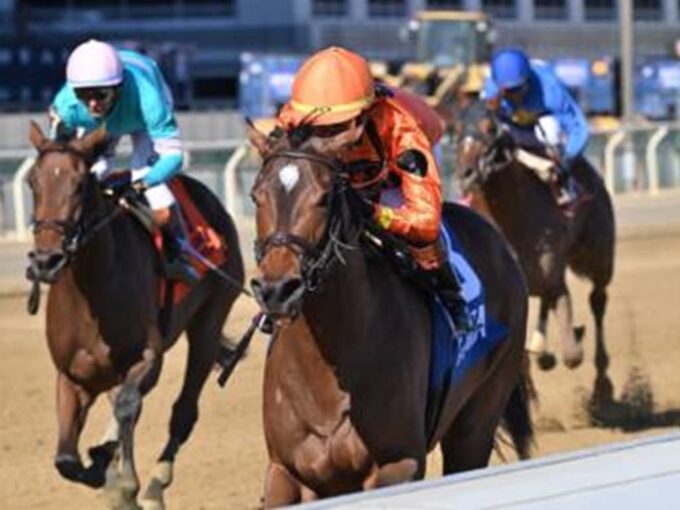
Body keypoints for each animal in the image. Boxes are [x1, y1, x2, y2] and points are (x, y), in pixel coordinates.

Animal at [26, 123, 244, 510]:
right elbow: (66, 460)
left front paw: (113, 470)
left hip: (210, 319)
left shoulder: (148, 357)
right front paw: (108, 473)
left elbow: (128, 405)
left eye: (80, 185)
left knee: (183, 411)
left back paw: (154, 485)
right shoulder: (71, 375)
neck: (91, 297)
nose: (46, 261)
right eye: (33, 182)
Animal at [247, 120, 532, 506]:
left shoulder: (400, 464)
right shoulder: (283, 472)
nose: (277, 289)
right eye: (256, 196)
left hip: (477, 421)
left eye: (324, 197)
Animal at [454, 99, 612, 402]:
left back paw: (601, 382)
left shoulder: (553, 273)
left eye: (489, 127)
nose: (465, 173)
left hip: (599, 255)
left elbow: (572, 353)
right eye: (454, 128)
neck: (511, 217)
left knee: (597, 299)